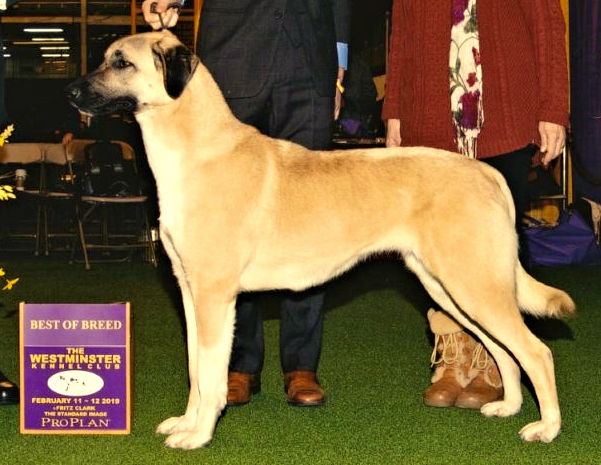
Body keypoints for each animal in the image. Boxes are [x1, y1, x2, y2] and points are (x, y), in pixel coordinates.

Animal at [67, 30, 576, 448]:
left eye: (121, 63)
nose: (71, 92)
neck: (197, 150)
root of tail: (486, 172)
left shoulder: (215, 296)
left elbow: (210, 375)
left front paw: (199, 435)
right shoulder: (191, 294)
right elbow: (196, 370)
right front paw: (186, 423)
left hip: (474, 285)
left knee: (536, 351)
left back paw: (546, 427)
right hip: (450, 287)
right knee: (504, 350)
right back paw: (507, 406)